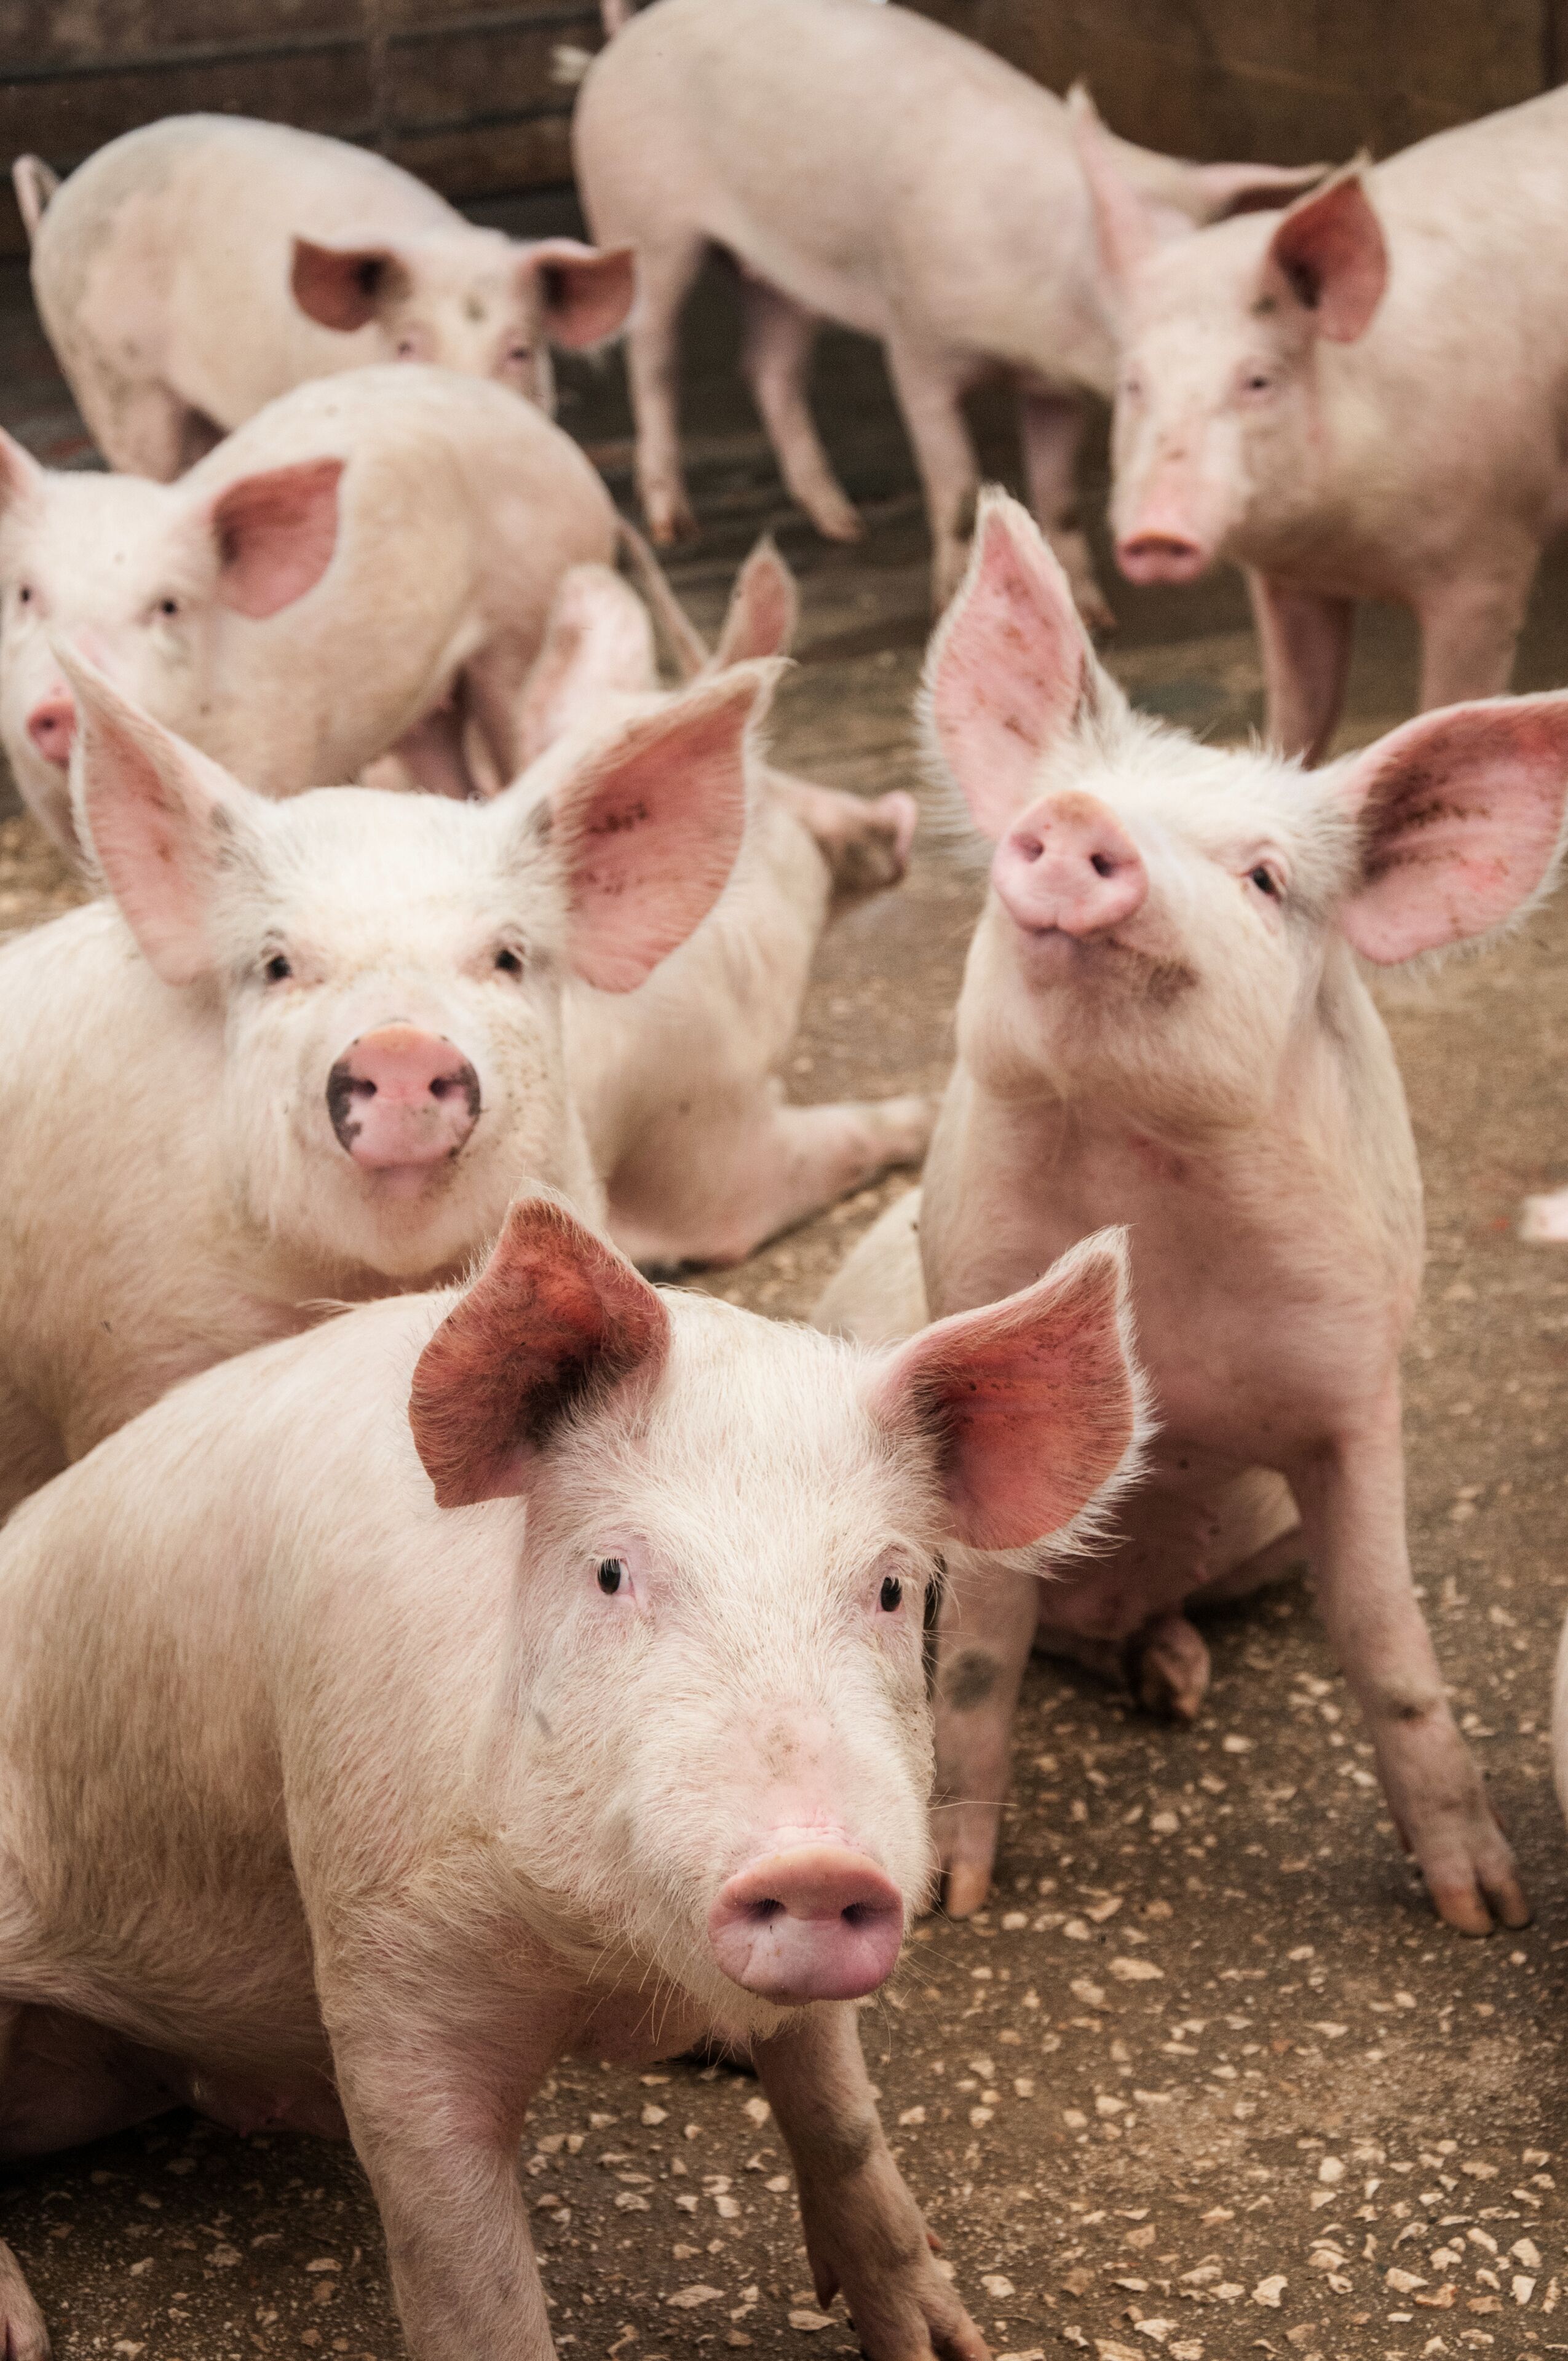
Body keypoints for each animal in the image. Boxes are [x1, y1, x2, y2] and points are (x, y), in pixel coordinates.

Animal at [0, 1190, 1142, 2361]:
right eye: (609, 1572)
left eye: (892, 1589)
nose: (818, 1864)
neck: (602, 1974)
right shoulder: (377, 1954)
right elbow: (470, 2286)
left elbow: (842, 2118)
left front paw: (944, 2346)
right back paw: (22, 2333)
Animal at [573, 0, 1319, 612]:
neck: (1034, 327)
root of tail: (628, 36)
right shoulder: (918, 345)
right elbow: (958, 489)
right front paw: (946, 605)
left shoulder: (1055, 391)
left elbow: (1059, 500)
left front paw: (1093, 616)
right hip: (639, 223)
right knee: (653, 355)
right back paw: (674, 526)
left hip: (780, 277)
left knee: (767, 367)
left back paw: (843, 525)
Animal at [817, 489, 1568, 1934]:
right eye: (1061, 807)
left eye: (1267, 878)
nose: (1071, 817)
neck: (1141, 1178)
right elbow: (981, 1657)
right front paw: (949, 1899)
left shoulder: (1357, 1389)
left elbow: (1386, 1636)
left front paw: (1486, 1911)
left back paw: (1178, 1682)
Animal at [1079, 85, 1568, 761]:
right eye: (1134, 382)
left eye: (1258, 380)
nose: (1156, 532)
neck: (1346, 545)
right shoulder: (1286, 577)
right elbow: (1299, 714)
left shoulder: (1490, 557)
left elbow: (1449, 707)